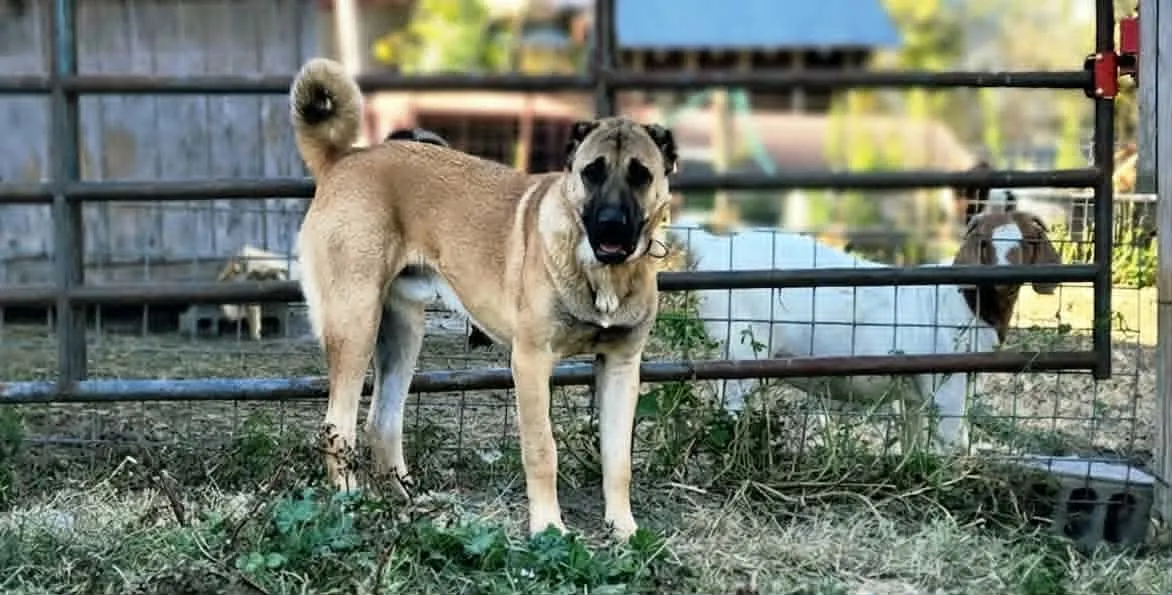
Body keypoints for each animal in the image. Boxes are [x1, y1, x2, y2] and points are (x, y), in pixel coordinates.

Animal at [671, 202, 1062, 453]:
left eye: (1029, 241)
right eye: (984, 242)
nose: (1004, 279)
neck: (961, 301)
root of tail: (714, 245)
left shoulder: (916, 393)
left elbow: (913, 438)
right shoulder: (947, 385)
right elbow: (951, 442)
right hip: (739, 345)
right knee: (730, 404)